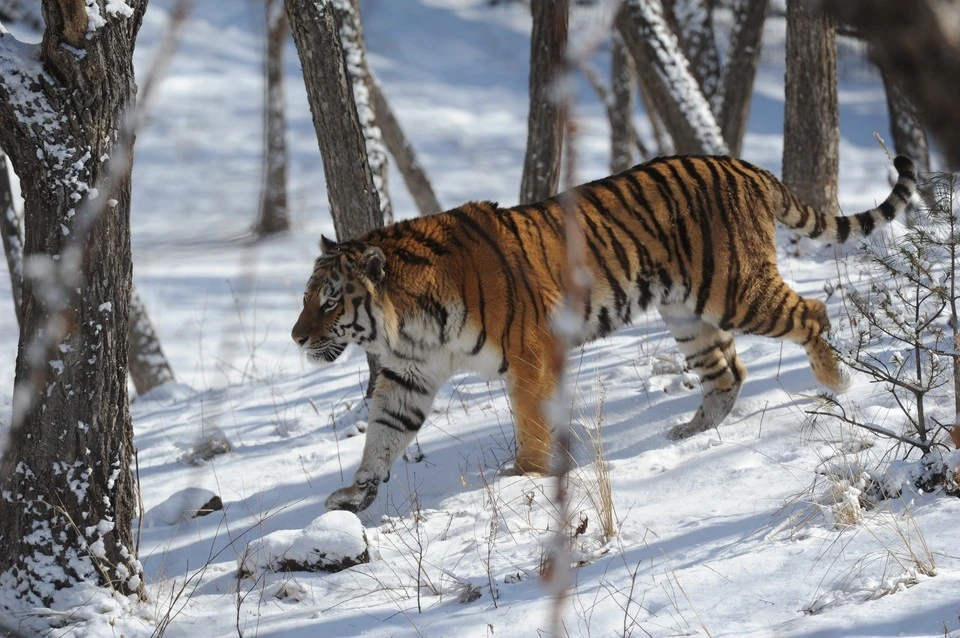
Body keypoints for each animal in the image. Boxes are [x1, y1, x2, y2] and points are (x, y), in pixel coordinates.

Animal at [292, 155, 916, 516]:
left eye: (329, 299)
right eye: (306, 296)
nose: (297, 337)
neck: (409, 325)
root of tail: (748, 167)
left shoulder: (529, 352)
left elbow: (531, 418)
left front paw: (525, 474)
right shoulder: (408, 376)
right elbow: (382, 435)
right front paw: (355, 493)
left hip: (737, 291)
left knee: (813, 311)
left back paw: (838, 381)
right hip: (687, 312)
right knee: (727, 372)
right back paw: (689, 432)